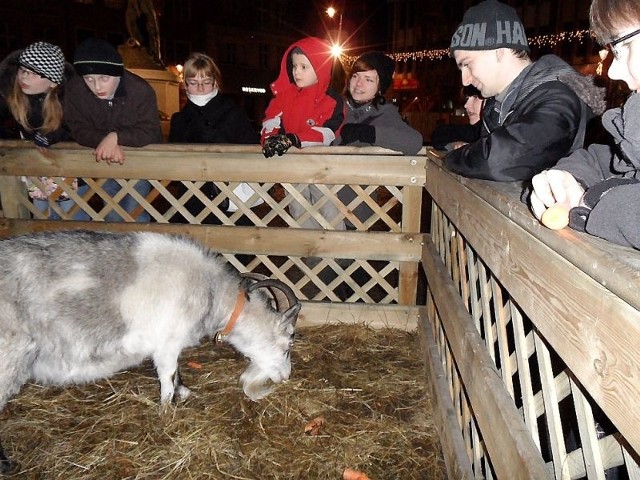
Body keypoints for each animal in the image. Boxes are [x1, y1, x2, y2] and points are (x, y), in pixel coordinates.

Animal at [0, 231, 300, 474]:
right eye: (288, 344)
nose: (285, 377)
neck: (210, 292)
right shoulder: (167, 342)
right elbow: (167, 377)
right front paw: (167, 413)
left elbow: (176, 374)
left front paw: (184, 393)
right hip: (9, 361)